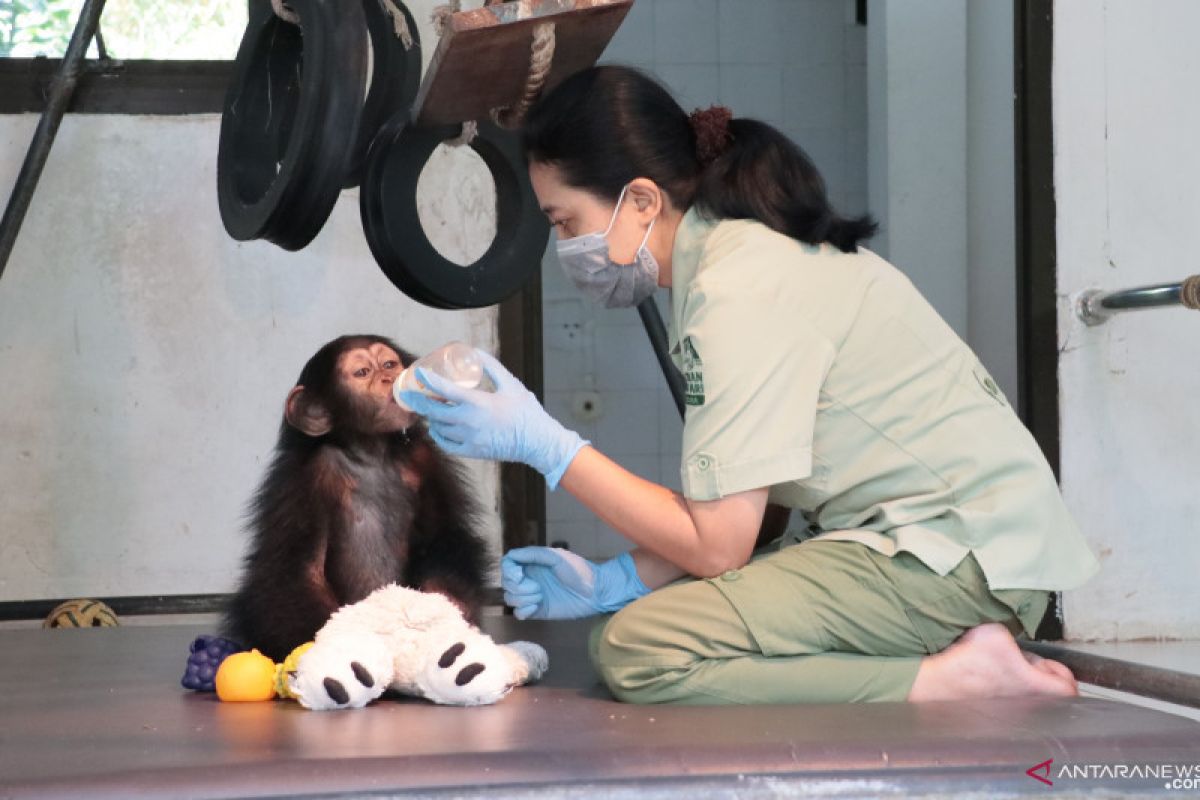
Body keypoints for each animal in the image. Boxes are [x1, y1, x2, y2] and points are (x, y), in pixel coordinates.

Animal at [223, 335, 489, 662]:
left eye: (388, 364)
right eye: (362, 372)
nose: (389, 379)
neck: (369, 452)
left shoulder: (425, 461)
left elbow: (444, 537)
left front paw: (447, 613)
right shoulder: (304, 482)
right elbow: (295, 572)